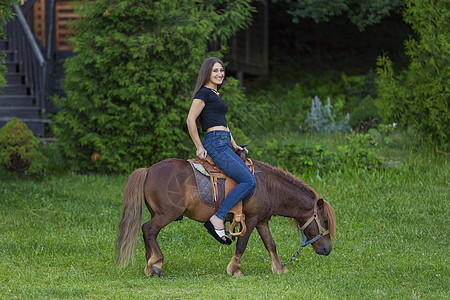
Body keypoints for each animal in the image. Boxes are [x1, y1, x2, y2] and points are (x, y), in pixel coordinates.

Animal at [116, 158, 334, 278]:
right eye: (325, 221)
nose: (328, 249)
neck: (268, 187)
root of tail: (148, 170)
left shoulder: (262, 221)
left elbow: (271, 244)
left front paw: (280, 268)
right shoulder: (250, 221)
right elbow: (242, 245)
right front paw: (235, 270)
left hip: (158, 214)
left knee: (149, 234)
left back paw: (150, 265)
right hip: (165, 214)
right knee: (148, 229)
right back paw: (157, 262)